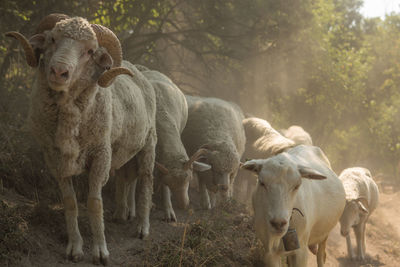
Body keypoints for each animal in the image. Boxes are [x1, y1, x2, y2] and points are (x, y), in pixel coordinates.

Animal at [6, 15, 157, 266]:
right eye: (52, 39)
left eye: (90, 51)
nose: (58, 71)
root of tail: (140, 70)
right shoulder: (55, 158)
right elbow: (70, 202)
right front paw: (74, 249)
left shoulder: (100, 154)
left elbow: (95, 203)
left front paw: (101, 252)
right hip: (123, 151)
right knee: (126, 177)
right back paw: (122, 214)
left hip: (149, 143)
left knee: (146, 181)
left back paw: (143, 228)